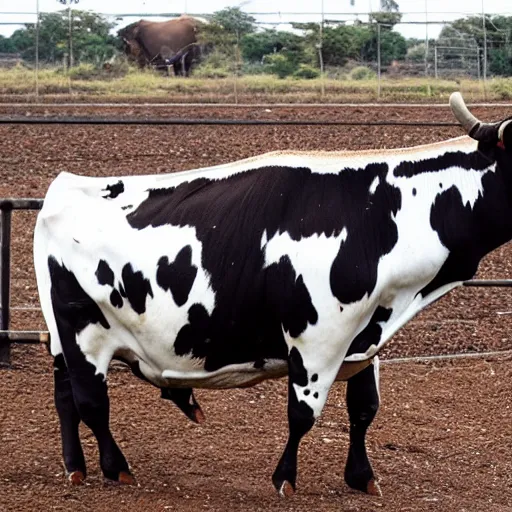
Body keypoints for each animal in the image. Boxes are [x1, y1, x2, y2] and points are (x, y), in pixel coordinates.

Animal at [35, 92, 512, 496]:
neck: (374, 217)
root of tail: (65, 186)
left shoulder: (365, 336)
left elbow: (364, 409)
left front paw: (361, 477)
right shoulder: (316, 338)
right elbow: (302, 414)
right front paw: (285, 478)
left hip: (61, 338)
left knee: (65, 397)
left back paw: (75, 467)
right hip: (81, 330)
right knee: (91, 401)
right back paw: (116, 468)